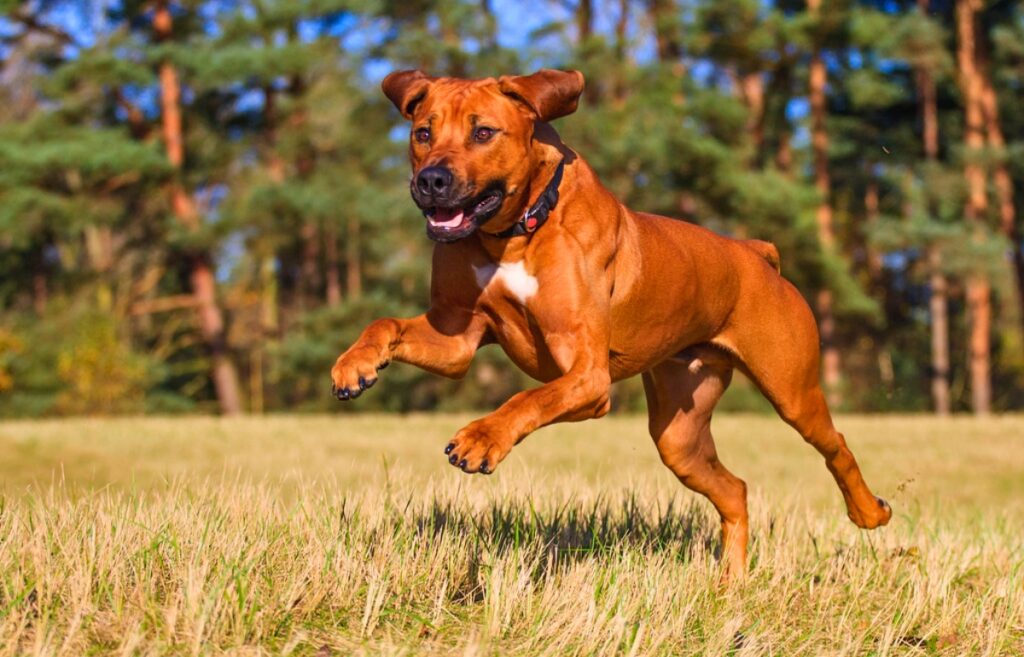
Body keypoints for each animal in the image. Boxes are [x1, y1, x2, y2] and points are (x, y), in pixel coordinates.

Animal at [331, 69, 892, 577]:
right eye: (423, 132)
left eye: (483, 132)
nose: (431, 180)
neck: (516, 230)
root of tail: (755, 253)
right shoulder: (457, 339)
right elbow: (386, 324)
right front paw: (355, 365)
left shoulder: (587, 376)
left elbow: (527, 398)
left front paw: (483, 437)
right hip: (679, 435)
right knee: (734, 490)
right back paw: (730, 585)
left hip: (792, 389)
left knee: (836, 446)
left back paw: (869, 512)